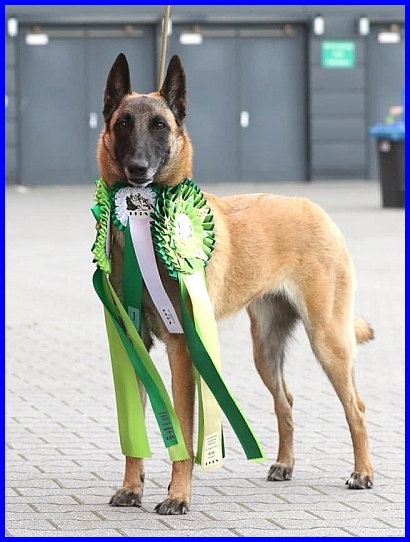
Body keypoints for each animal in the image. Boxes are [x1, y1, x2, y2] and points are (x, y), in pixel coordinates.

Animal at [97, 53, 374, 515]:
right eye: (122, 124)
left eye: (160, 126)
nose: (137, 169)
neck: (144, 226)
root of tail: (312, 206)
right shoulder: (132, 341)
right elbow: (134, 432)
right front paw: (132, 489)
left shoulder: (181, 347)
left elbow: (185, 431)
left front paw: (178, 495)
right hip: (264, 350)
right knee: (286, 401)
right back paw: (284, 464)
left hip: (327, 340)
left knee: (356, 405)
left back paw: (363, 472)